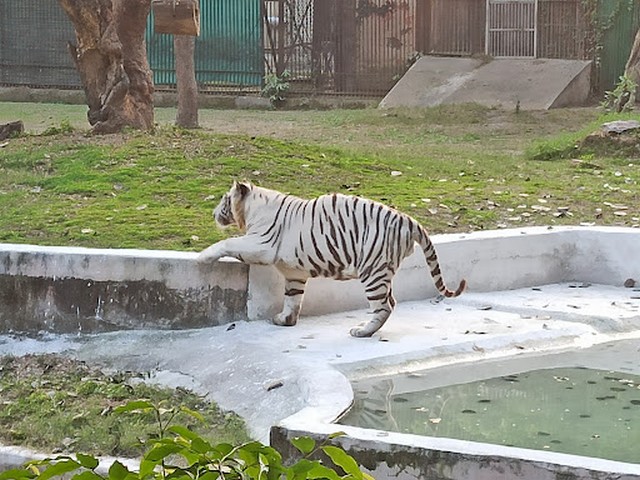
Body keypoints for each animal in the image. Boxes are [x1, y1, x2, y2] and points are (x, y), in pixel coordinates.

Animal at [196, 181, 464, 338]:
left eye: (224, 199)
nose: (213, 213)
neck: (253, 208)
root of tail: (408, 219)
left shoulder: (261, 243)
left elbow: (228, 243)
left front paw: (202, 258)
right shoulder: (294, 273)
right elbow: (293, 298)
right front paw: (285, 320)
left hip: (372, 270)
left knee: (384, 306)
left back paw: (362, 331)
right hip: (382, 269)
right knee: (391, 302)